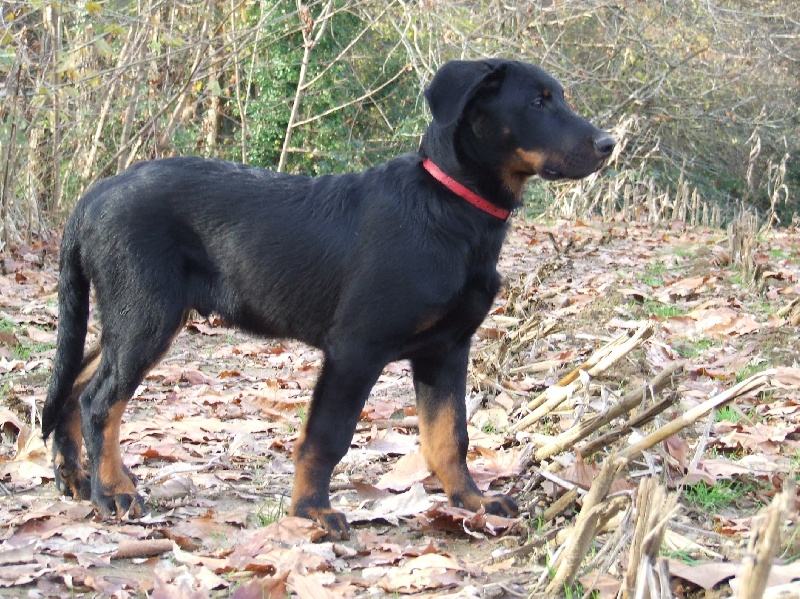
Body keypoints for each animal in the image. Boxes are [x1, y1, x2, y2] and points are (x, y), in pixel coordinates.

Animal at [42, 58, 612, 540]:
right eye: (537, 102)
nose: (609, 144)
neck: (452, 207)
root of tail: (92, 197)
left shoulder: (446, 350)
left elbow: (449, 435)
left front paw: (472, 501)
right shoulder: (355, 350)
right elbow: (326, 438)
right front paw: (311, 512)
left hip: (133, 316)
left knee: (75, 384)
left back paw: (76, 479)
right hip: (146, 315)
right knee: (100, 400)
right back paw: (114, 494)